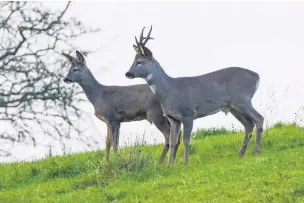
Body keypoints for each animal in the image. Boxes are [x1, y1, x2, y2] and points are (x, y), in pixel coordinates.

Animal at [126, 26, 264, 167]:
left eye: (139, 62)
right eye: (133, 61)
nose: (128, 73)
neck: (170, 90)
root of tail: (257, 76)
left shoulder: (189, 113)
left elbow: (186, 140)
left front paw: (186, 163)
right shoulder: (173, 118)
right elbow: (173, 141)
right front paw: (170, 165)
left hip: (242, 99)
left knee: (259, 118)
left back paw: (256, 151)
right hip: (233, 107)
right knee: (248, 125)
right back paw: (241, 154)